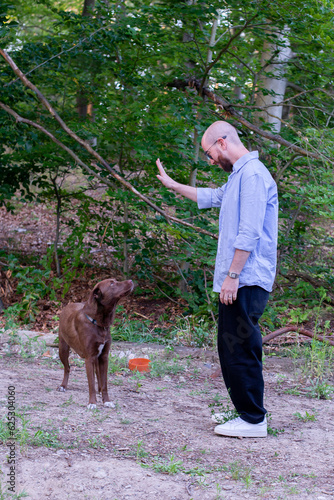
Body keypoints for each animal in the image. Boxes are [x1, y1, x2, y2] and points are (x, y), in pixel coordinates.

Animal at [57, 278, 133, 410]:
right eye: (112, 283)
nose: (130, 280)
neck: (99, 323)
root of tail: (69, 304)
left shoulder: (103, 356)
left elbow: (105, 382)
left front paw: (106, 401)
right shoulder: (90, 358)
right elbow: (91, 383)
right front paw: (92, 403)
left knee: (98, 375)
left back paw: (99, 390)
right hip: (63, 348)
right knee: (67, 368)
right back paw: (63, 385)